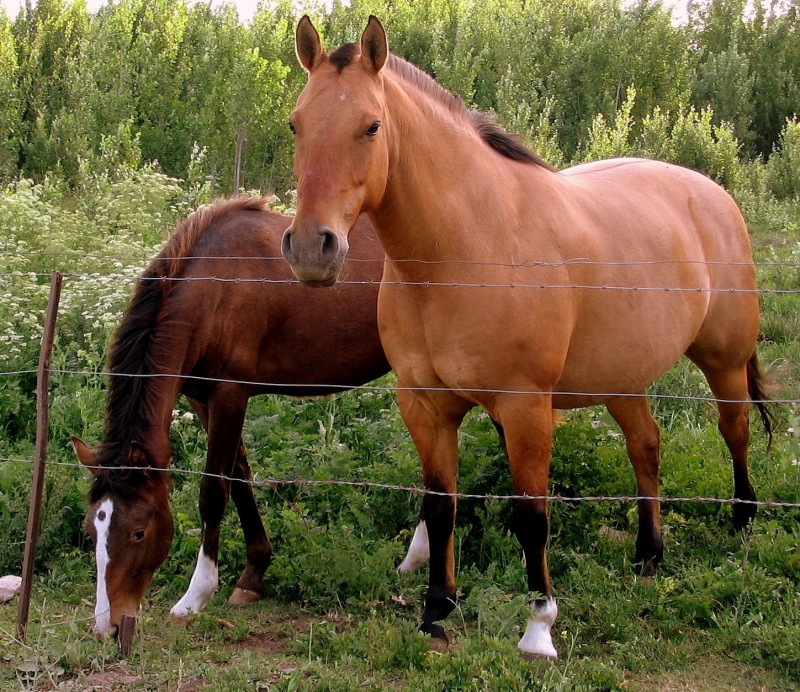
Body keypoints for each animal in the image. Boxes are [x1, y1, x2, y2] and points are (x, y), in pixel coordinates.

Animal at [282, 17, 776, 660]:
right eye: (296, 123)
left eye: (371, 126)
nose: (312, 248)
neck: (466, 248)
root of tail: (712, 194)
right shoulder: (425, 406)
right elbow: (440, 507)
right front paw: (437, 609)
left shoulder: (525, 409)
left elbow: (531, 516)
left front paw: (539, 625)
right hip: (622, 378)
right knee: (645, 446)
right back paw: (648, 553)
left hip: (723, 359)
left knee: (734, 429)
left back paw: (742, 522)